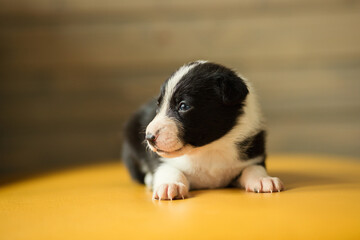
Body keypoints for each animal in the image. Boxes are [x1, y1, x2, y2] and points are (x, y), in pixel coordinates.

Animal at [121, 60, 284, 201]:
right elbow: (169, 169)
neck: (209, 149)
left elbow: (253, 168)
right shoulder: (161, 160)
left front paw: (263, 180)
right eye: (158, 105)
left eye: (183, 106)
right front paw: (170, 185)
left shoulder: (254, 155)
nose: (149, 137)